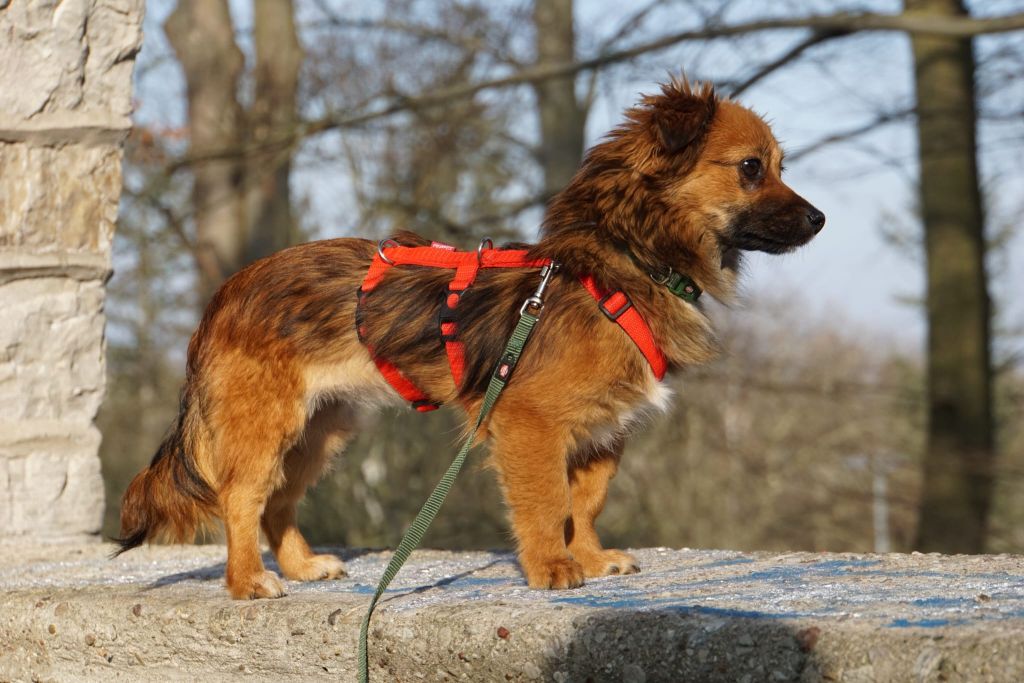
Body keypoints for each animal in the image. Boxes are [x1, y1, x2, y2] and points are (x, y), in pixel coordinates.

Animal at [117, 77, 824, 599]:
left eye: (779, 166)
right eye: (751, 168)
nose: (819, 219)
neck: (625, 261)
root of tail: (227, 292)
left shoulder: (604, 431)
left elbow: (586, 501)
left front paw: (591, 558)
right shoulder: (529, 420)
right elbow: (547, 500)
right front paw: (552, 567)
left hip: (321, 429)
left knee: (276, 502)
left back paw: (300, 566)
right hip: (268, 422)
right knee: (240, 498)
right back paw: (249, 582)